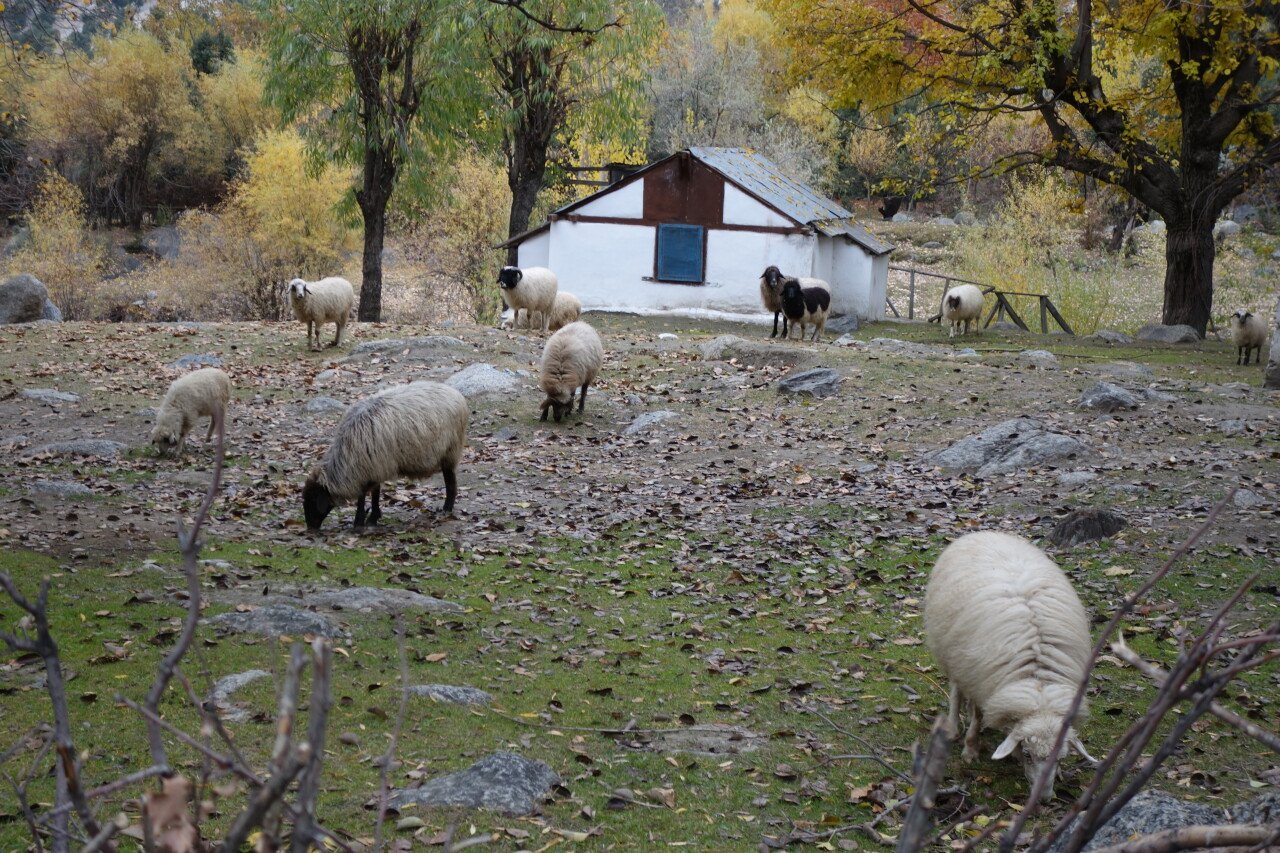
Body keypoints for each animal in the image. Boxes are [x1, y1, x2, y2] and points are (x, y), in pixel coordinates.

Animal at [303, 379, 471, 525]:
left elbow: (365, 495)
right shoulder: (373, 467)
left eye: (313, 499)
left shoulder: (374, 467)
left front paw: (361, 521)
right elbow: (374, 492)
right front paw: (372, 517)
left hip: (450, 450)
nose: (310, 527)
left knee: (450, 481)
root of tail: (455, 393)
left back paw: (447, 509)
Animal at [926, 527, 1095, 799]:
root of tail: (984, 532)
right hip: (955, 652)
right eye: (1028, 754)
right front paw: (971, 750)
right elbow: (976, 715)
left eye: (1060, 758)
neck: (1038, 683)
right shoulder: (981, 678)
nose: (1043, 799)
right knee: (956, 689)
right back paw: (953, 726)